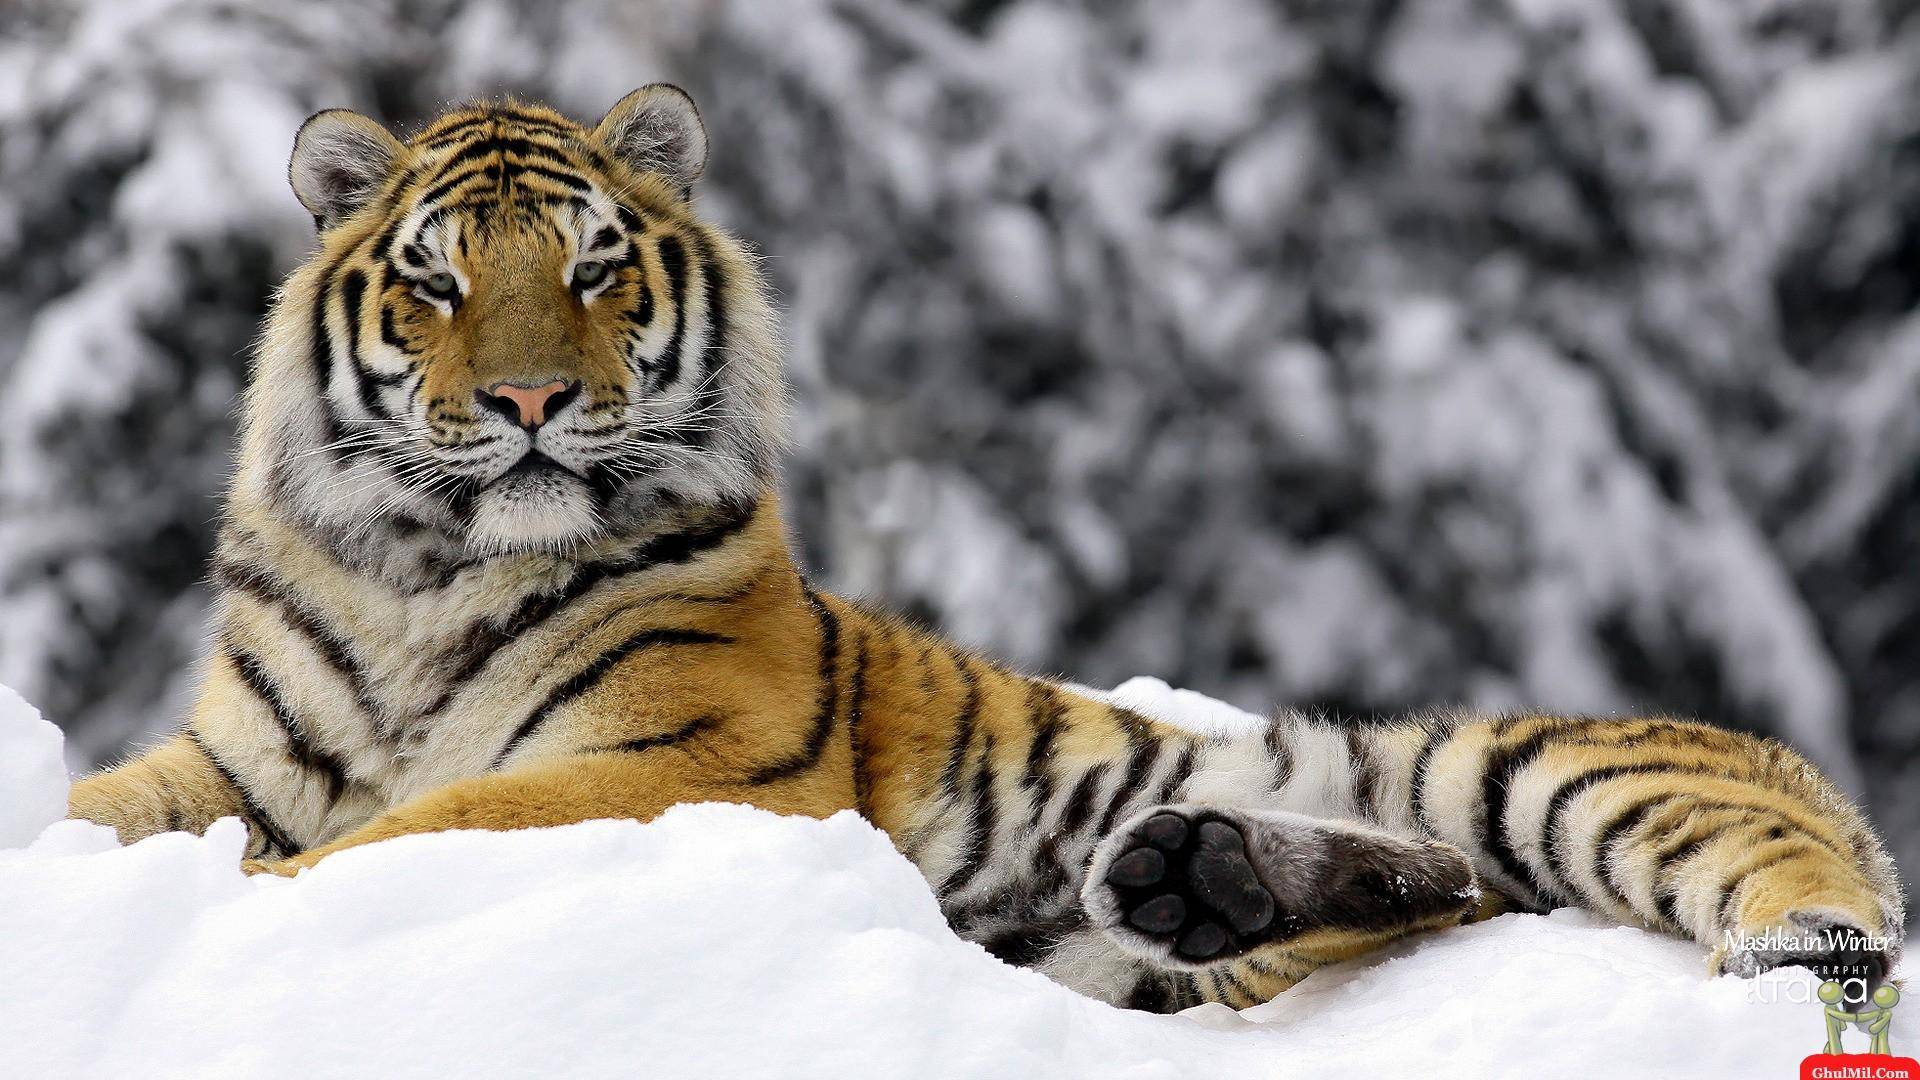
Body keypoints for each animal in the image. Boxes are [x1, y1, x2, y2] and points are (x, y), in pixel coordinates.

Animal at [66, 85, 1904, 1013]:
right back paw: (1206, 881)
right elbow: (105, 810)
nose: (528, 398)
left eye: (592, 267)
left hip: (1527, 770)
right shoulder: (238, 758)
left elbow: (416, 833)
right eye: (437, 279)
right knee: (1407, 901)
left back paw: (1808, 945)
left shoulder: (680, 758)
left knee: (1736, 855)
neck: (423, 578)